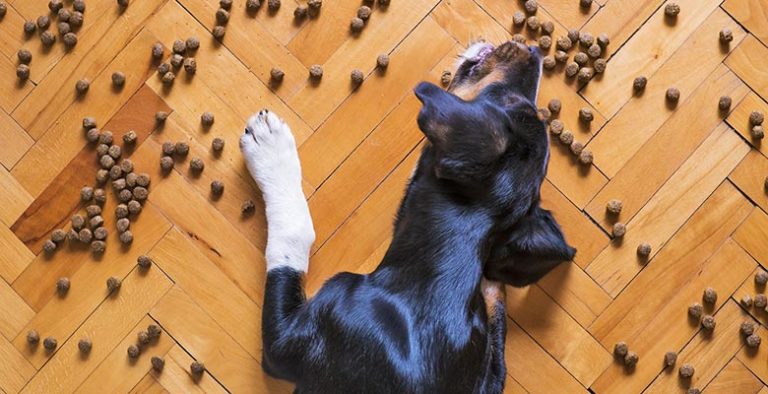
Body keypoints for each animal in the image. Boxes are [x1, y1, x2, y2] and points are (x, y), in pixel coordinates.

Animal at [240, 40, 576, 394]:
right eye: (521, 104)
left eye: (506, 101)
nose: (533, 50)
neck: (434, 273)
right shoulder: (489, 365)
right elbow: (495, 327)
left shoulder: (286, 343)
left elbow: (294, 236)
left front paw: (270, 149)